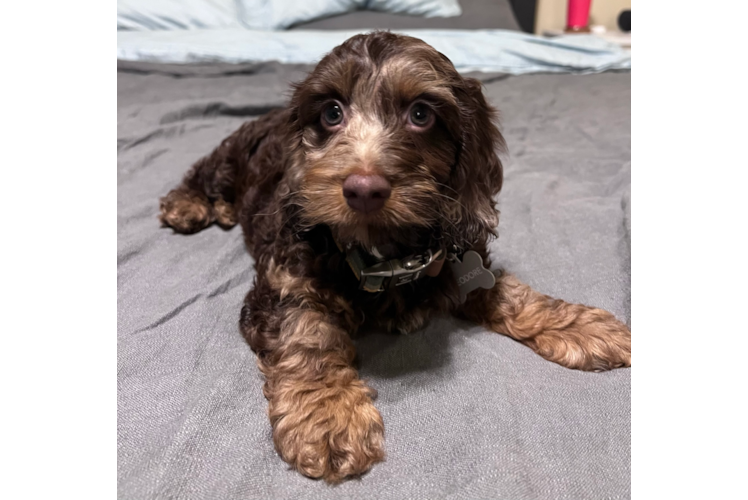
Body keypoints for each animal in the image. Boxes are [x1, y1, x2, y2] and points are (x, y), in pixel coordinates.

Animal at [158, 32, 632, 484]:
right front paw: (327, 414)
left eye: (421, 114)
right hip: (233, 154)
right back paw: (189, 203)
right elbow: (307, 331)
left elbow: (508, 292)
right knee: (206, 171)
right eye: (331, 113)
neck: (386, 257)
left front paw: (583, 326)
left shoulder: (461, 259)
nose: (363, 189)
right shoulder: (283, 283)